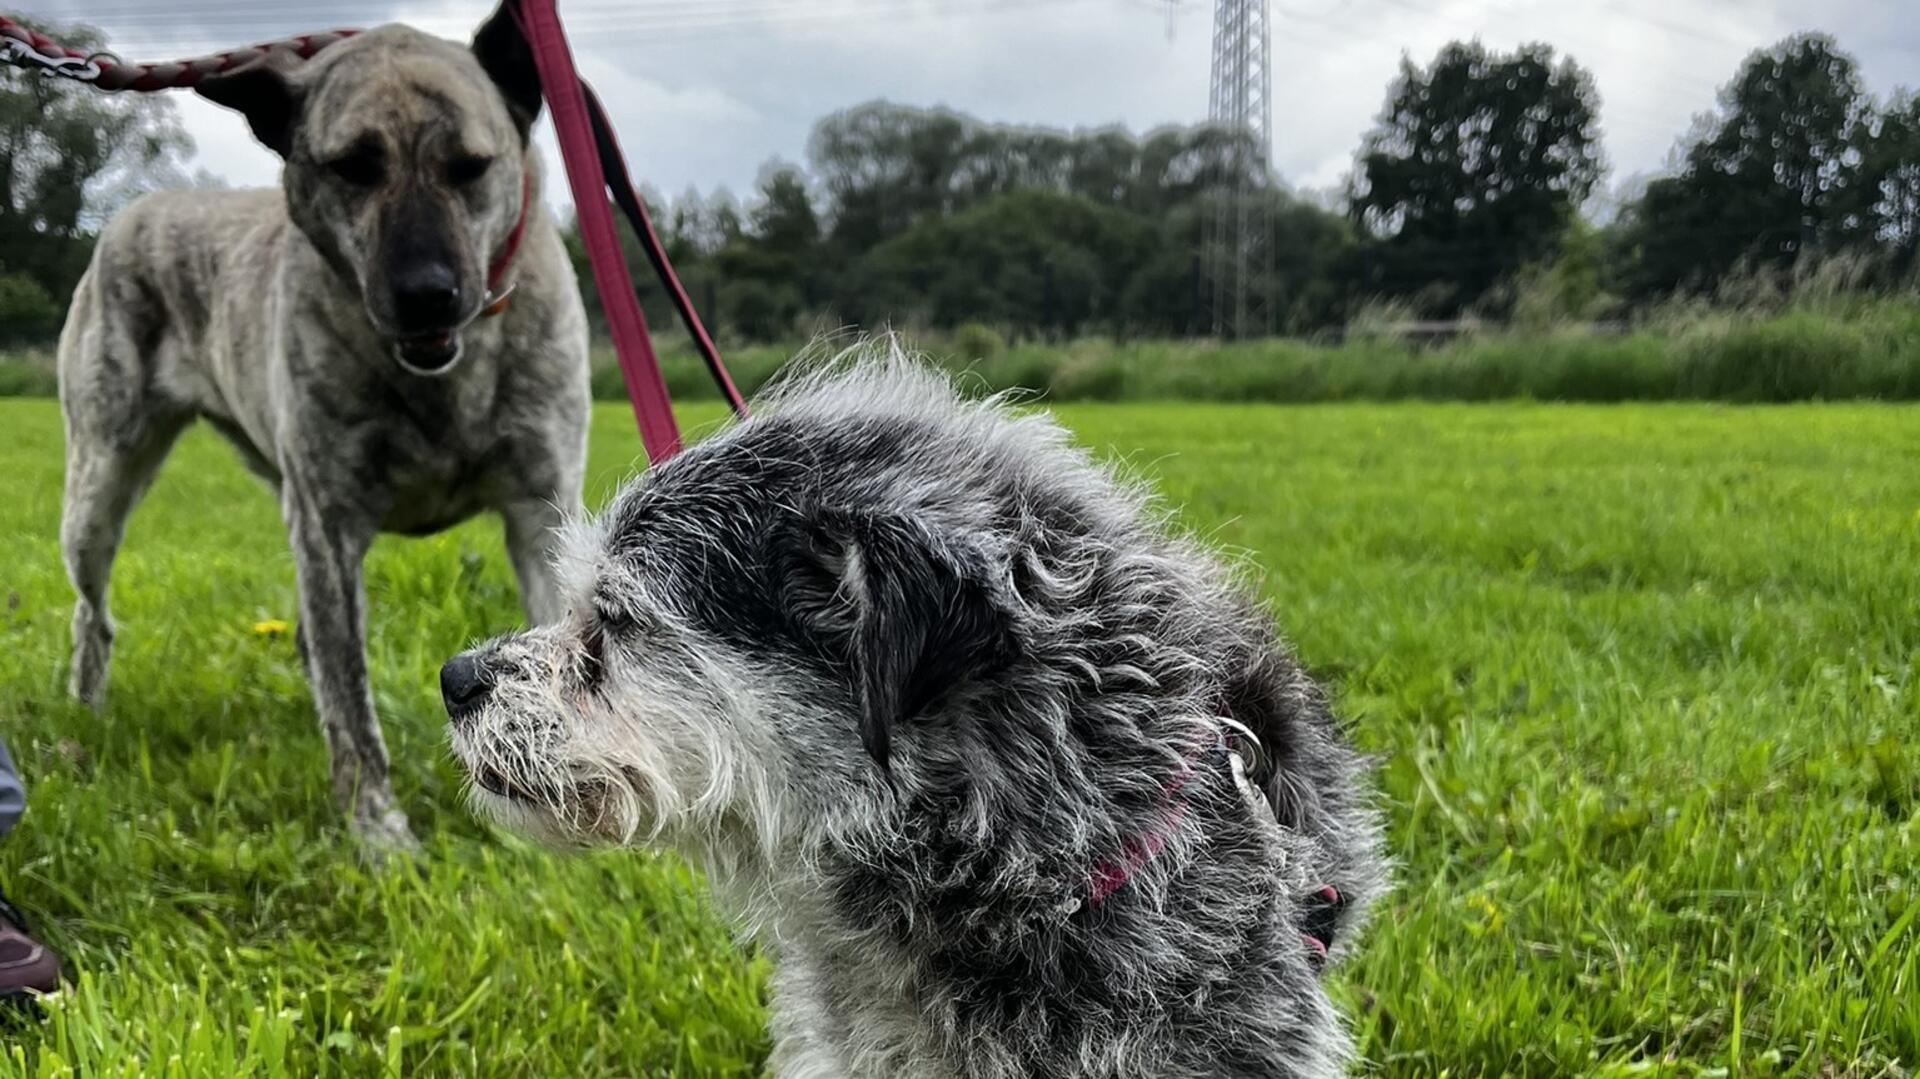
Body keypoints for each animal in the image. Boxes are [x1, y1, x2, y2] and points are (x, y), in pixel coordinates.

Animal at [58, 6, 583, 848]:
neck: (444, 377)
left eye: (471, 166)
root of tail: (136, 209)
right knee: (93, 612)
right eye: (353, 168)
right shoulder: (328, 526)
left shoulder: (542, 507)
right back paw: (87, 711)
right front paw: (378, 830)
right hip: (100, 482)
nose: (427, 294)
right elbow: (352, 701)